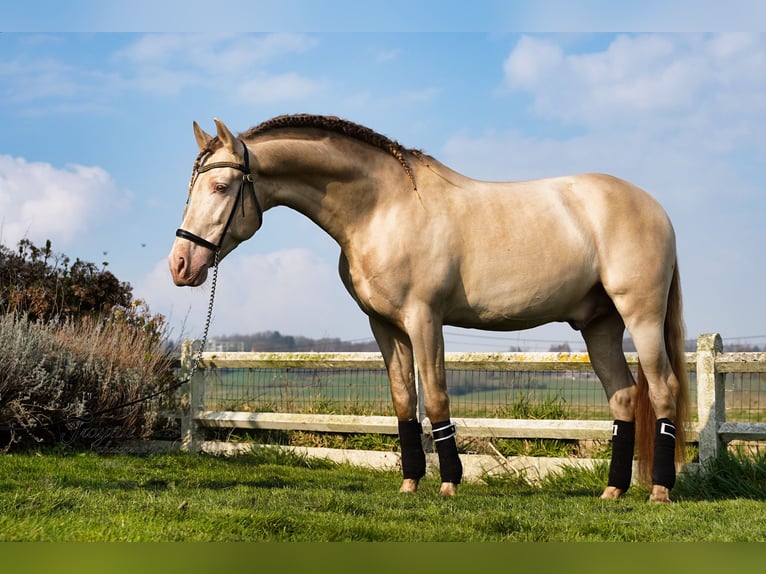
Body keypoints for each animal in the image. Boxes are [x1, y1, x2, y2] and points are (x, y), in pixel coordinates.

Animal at [171, 116, 692, 504]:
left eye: (221, 186)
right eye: (192, 187)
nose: (181, 265)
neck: (382, 207)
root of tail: (656, 208)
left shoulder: (425, 319)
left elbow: (437, 397)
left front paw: (449, 483)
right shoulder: (385, 325)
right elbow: (405, 401)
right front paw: (410, 483)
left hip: (641, 318)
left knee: (662, 390)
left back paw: (659, 491)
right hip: (598, 324)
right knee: (622, 396)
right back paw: (613, 491)